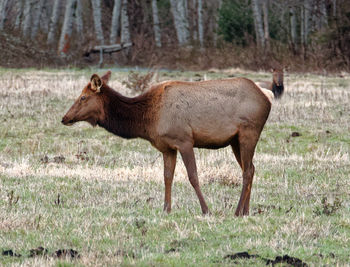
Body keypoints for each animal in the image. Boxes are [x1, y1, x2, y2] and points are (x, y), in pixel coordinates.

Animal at [61, 71, 284, 218]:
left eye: (83, 97)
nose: (64, 118)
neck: (148, 119)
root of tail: (267, 96)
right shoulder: (166, 147)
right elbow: (167, 176)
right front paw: (166, 209)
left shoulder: (184, 140)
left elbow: (193, 176)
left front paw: (206, 210)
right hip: (235, 140)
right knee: (251, 168)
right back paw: (246, 211)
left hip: (249, 132)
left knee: (247, 171)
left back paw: (237, 211)